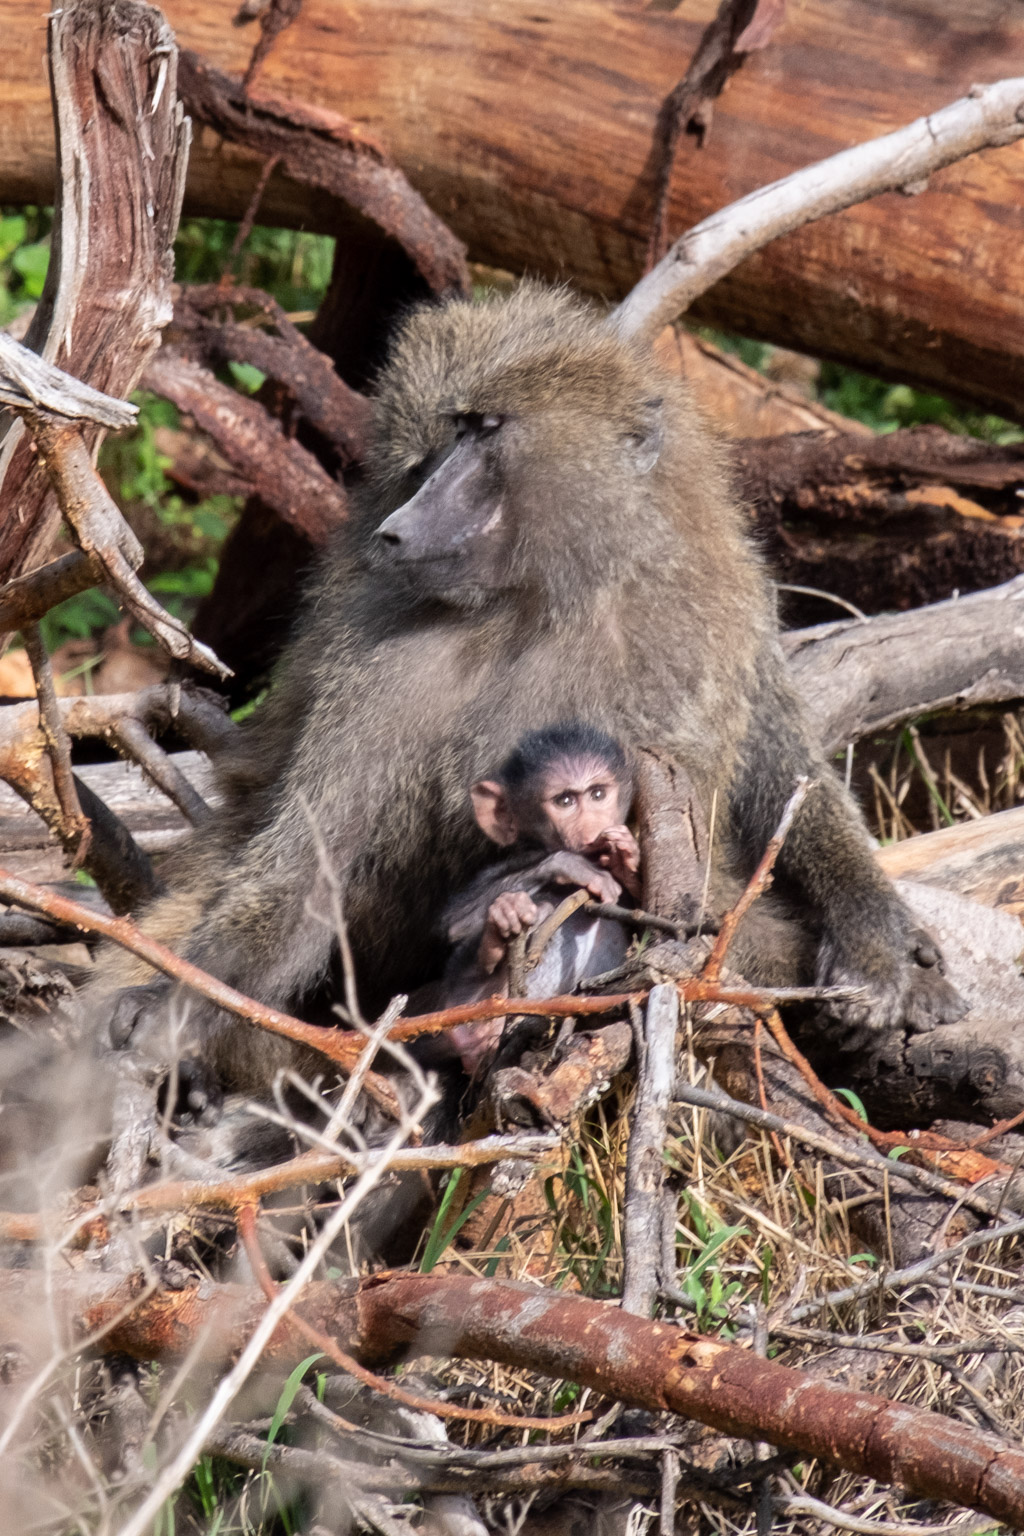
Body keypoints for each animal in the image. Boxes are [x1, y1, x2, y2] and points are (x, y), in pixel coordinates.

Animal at [102, 281, 964, 1105]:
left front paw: (879, 942)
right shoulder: (383, 653)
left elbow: (775, 780)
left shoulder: (708, 609)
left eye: (483, 431)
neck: (549, 598)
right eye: (431, 451)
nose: (397, 528)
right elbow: (306, 872)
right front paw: (169, 1001)